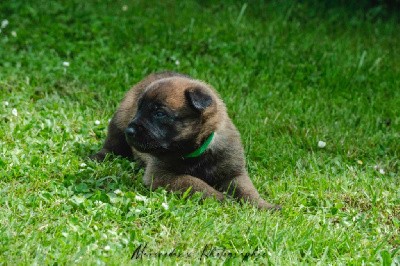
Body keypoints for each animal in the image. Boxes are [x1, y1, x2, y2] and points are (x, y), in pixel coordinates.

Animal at [93, 71, 280, 210]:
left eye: (159, 113)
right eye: (139, 109)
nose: (130, 131)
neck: (196, 150)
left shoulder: (234, 173)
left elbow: (248, 191)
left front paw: (265, 206)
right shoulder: (162, 175)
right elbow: (196, 183)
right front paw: (224, 200)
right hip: (119, 121)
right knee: (112, 145)